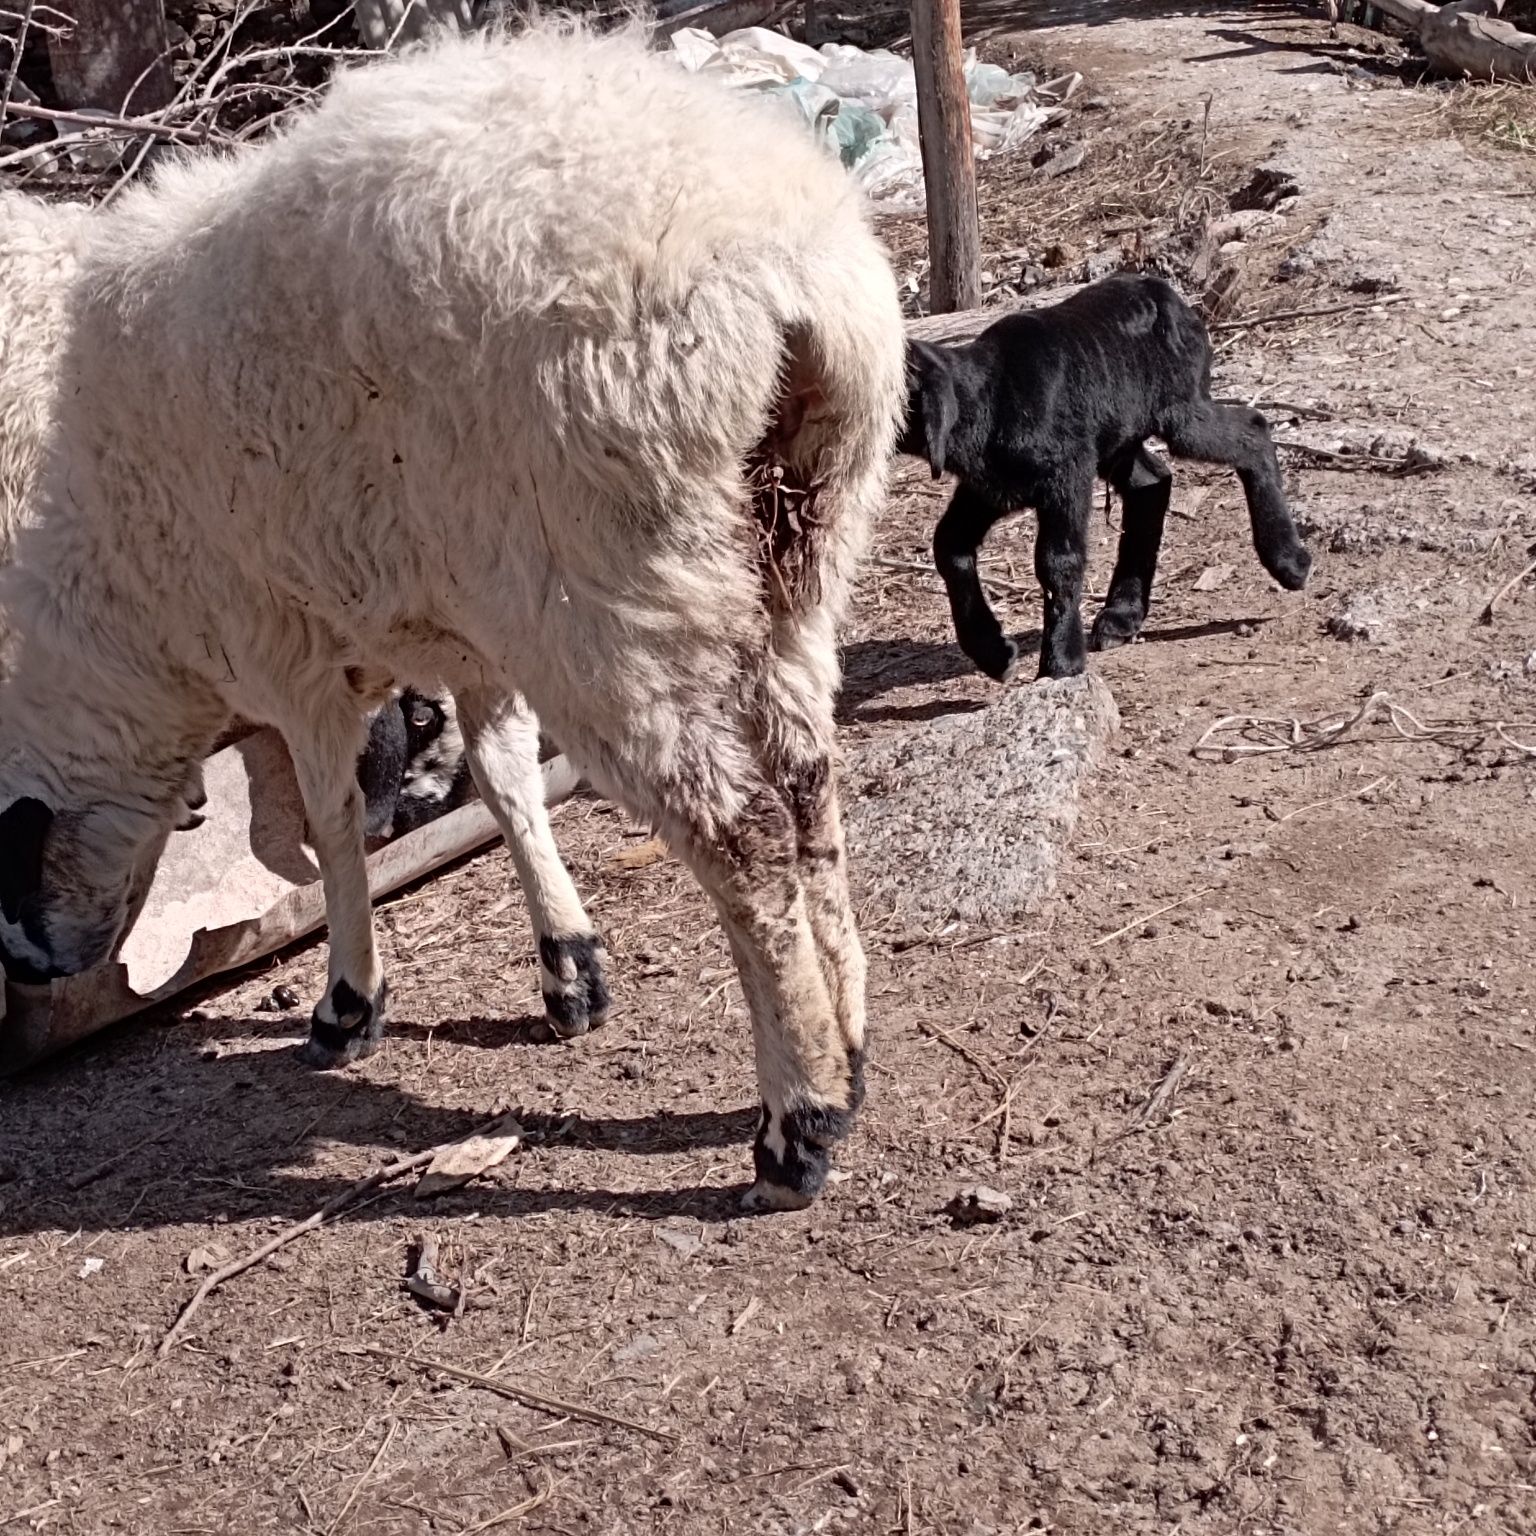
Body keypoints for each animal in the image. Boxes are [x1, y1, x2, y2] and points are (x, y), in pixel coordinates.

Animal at [0, 14, 903, 1210]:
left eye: (8, 859)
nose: (32, 966)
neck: (133, 627)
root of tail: (779, 271)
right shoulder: (466, 623)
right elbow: (505, 777)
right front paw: (570, 969)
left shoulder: (286, 650)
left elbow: (332, 821)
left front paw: (349, 1002)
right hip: (795, 549)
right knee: (806, 785)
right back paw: (845, 1044)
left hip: (611, 594)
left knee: (742, 836)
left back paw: (797, 1125)